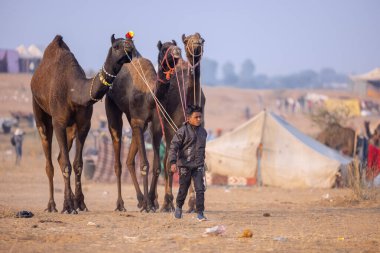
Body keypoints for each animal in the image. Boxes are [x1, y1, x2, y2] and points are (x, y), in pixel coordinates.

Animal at [31, 34, 135, 212]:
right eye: (116, 46)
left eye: (131, 42)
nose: (130, 47)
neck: (73, 91)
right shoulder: (59, 122)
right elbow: (67, 164)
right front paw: (67, 206)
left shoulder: (84, 124)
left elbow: (77, 164)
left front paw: (80, 204)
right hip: (39, 109)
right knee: (49, 159)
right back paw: (52, 205)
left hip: (71, 128)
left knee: (60, 157)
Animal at [104, 40, 181, 212]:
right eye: (164, 49)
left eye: (176, 45)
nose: (178, 52)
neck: (149, 95)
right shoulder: (138, 120)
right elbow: (145, 164)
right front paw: (148, 204)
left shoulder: (156, 124)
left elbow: (156, 166)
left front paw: (151, 201)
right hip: (112, 106)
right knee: (118, 158)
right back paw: (121, 204)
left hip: (135, 121)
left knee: (129, 160)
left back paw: (140, 199)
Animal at [150, 32, 206, 212]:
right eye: (187, 40)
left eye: (202, 39)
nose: (196, 43)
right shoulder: (170, 129)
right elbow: (170, 163)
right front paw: (168, 203)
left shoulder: (201, 126)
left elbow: (196, 161)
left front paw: (193, 203)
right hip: (159, 128)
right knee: (163, 160)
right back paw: (157, 202)